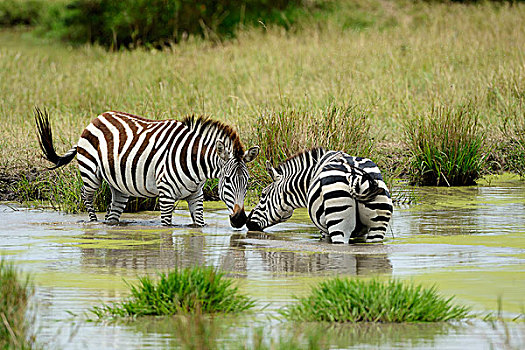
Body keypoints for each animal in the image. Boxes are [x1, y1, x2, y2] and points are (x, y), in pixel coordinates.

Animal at [34, 108, 260, 227]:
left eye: (248, 183)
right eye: (227, 180)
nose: (240, 220)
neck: (194, 162)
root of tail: (97, 117)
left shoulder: (196, 195)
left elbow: (199, 225)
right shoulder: (166, 194)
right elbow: (167, 227)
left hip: (119, 186)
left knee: (113, 211)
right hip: (91, 174)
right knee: (86, 196)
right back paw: (93, 223)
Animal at [247, 148, 392, 243]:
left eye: (263, 195)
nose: (248, 223)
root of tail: (355, 176)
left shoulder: (324, 231)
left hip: (339, 224)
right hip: (378, 227)